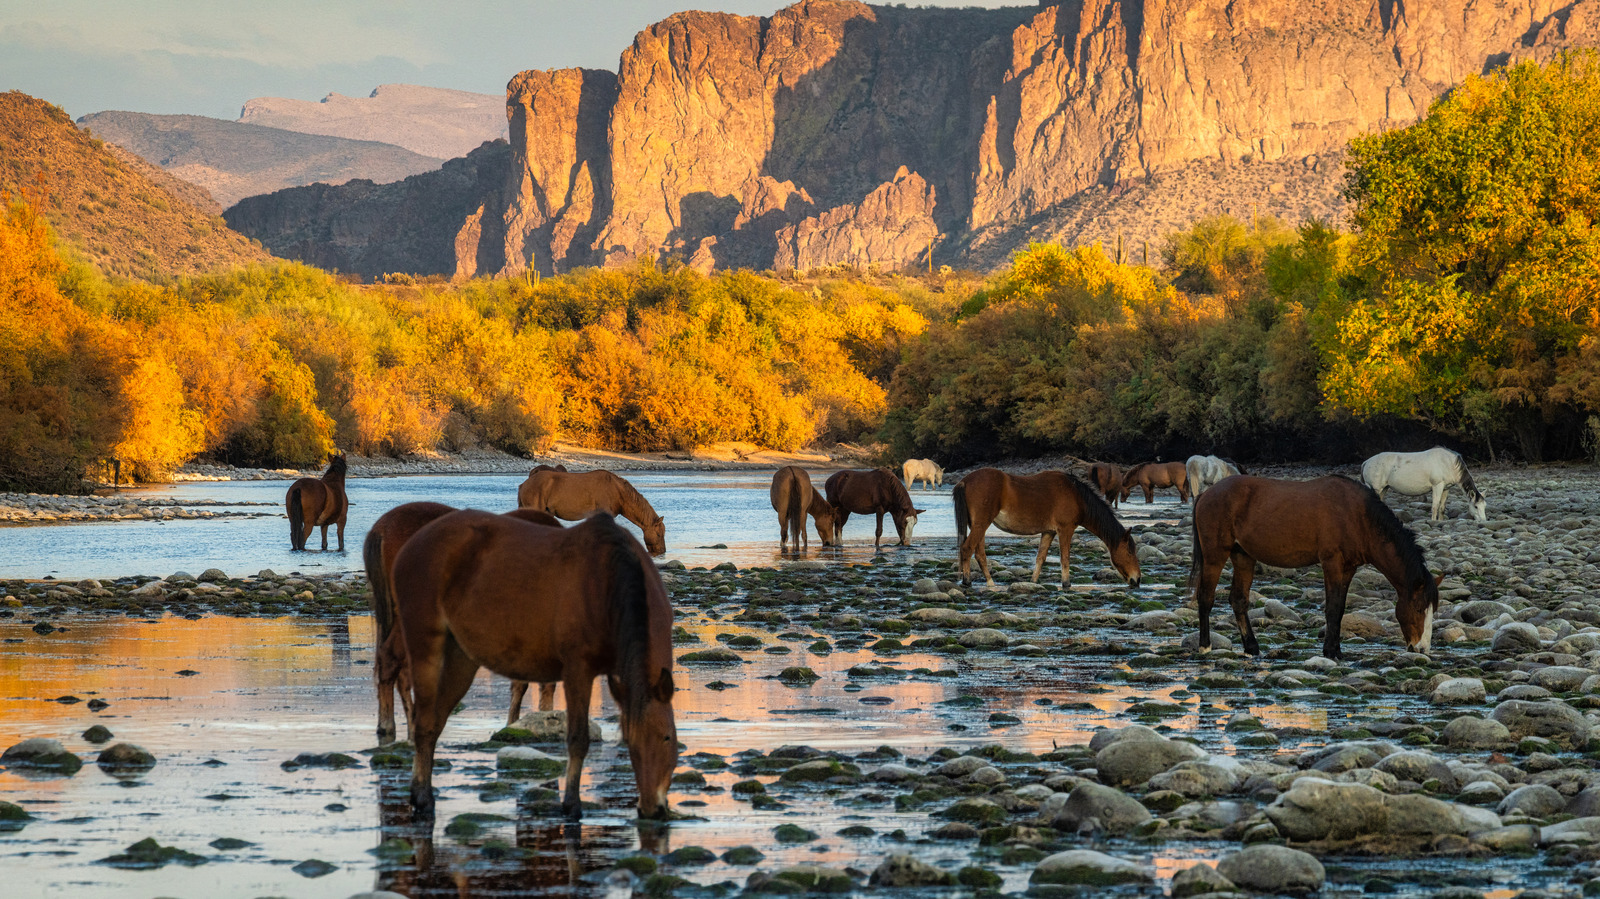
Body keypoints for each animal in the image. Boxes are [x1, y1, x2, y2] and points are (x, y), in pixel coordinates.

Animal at [392, 510, 676, 820]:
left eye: (667, 738)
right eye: (634, 742)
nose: (651, 808)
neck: (609, 582)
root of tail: (412, 544)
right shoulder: (578, 669)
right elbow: (578, 738)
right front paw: (571, 804)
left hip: (461, 658)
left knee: (436, 721)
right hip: (425, 645)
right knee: (423, 721)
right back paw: (422, 798)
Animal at [953, 468, 1142, 589]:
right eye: (1130, 551)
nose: (1137, 579)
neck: (1077, 496)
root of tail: (964, 481)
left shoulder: (1048, 532)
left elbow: (1040, 558)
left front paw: (1033, 582)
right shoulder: (1065, 529)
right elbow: (1065, 558)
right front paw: (1066, 584)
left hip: (978, 525)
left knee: (979, 553)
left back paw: (990, 582)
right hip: (981, 524)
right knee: (967, 548)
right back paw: (968, 581)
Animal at [1188, 475, 1442, 660]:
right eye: (1419, 608)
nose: (1422, 649)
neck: (1357, 516)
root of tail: (1204, 494)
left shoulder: (1348, 568)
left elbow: (1340, 609)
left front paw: (1336, 650)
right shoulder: (1332, 563)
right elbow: (1332, 608)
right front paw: (1330, 651)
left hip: (1243, 556)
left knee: (1238, 600)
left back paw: (1252, 647)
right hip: (1215, 556)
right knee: (1206, 598)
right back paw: (1205, 646)